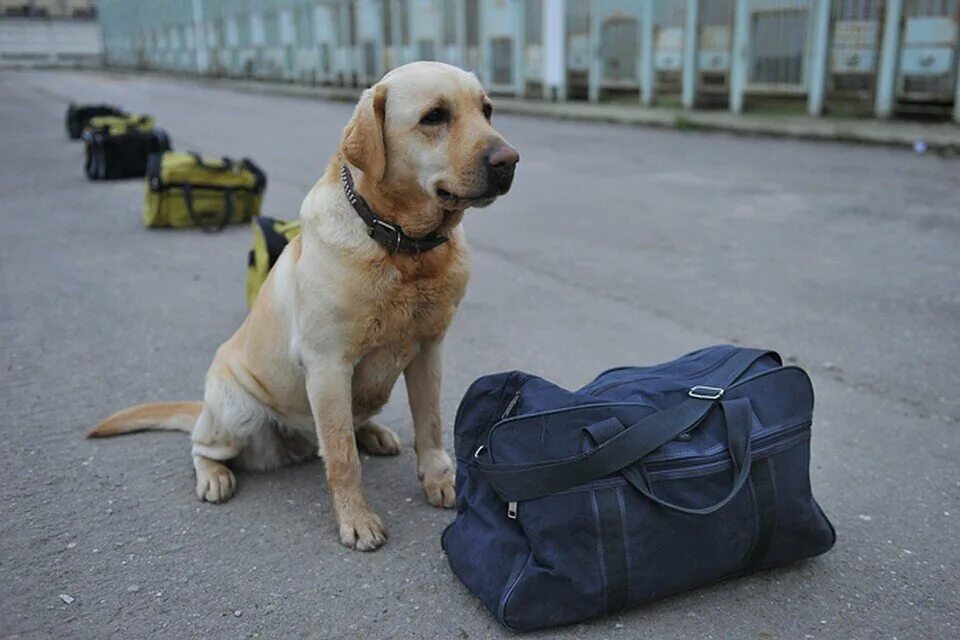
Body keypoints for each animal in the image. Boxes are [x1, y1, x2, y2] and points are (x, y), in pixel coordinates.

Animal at [90, 63, 520, 552]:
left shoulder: (429, 350)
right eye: (434, 116)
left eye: (486, 110)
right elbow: (341, 456)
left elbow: (429, 425)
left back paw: (373, 433)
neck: (400, 245)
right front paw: (356, 519)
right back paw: (214, 475)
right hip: (236, 411)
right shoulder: (328, 366)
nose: (509, 160)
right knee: (204, 446)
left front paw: (439, 480)